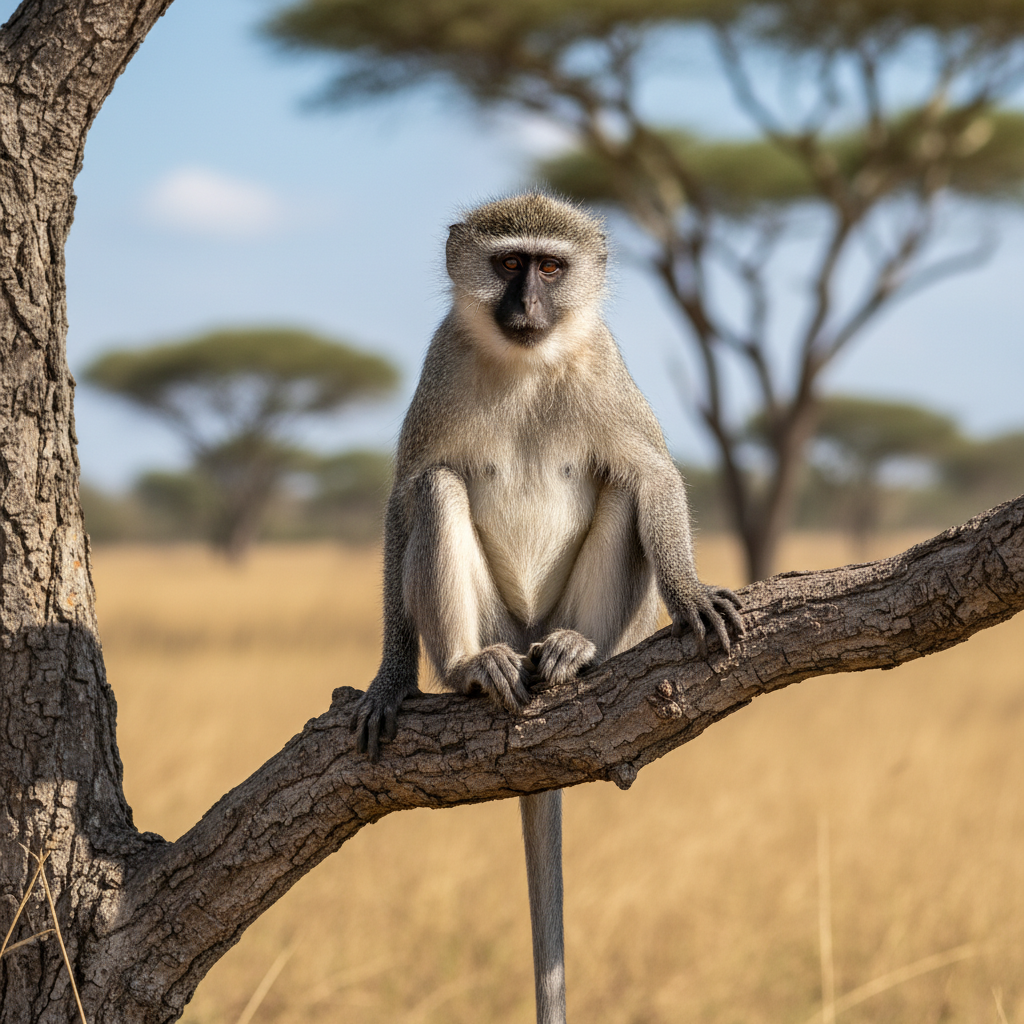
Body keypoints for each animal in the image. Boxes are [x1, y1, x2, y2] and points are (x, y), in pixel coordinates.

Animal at [350, 192, 743, 1024]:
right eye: (508, 263)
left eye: (551, 268)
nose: (526, 305)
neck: (527, 362)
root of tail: (527, 635)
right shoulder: (440, 363)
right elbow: (405, 494)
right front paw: (391, 678)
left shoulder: (606, 366)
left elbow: (653, 474)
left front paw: (691, 593)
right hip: (497, 622)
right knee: (438, 489)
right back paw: (473, 668)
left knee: (624, 486)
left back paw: (575, 652)